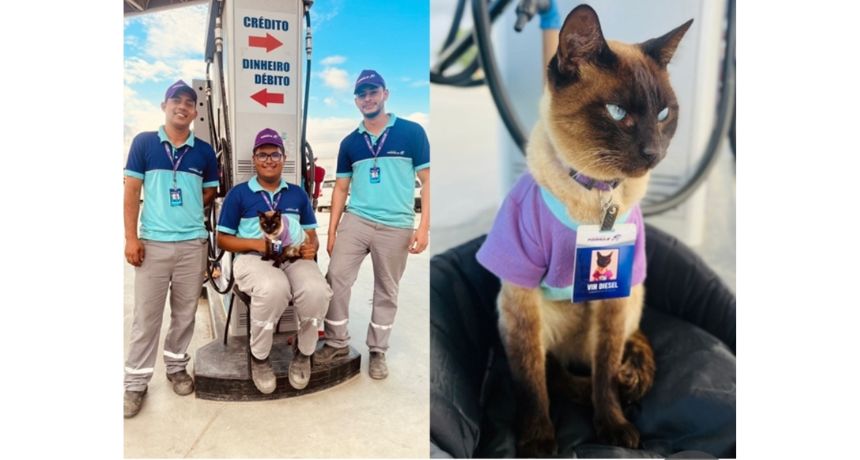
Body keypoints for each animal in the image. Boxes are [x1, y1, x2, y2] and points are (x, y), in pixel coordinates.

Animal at [474, 4, 696, 456]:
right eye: (617, 113)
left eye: (664, 115)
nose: (654, 153)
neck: (597, 198)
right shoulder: (522, 296)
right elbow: (532, 382)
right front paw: (538, 441)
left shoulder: (614, 300)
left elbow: (605, 374)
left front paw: (613, 426)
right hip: (521, 316)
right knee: (552, 371)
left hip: (628, 306)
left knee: (604, 362)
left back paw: (624, 384)